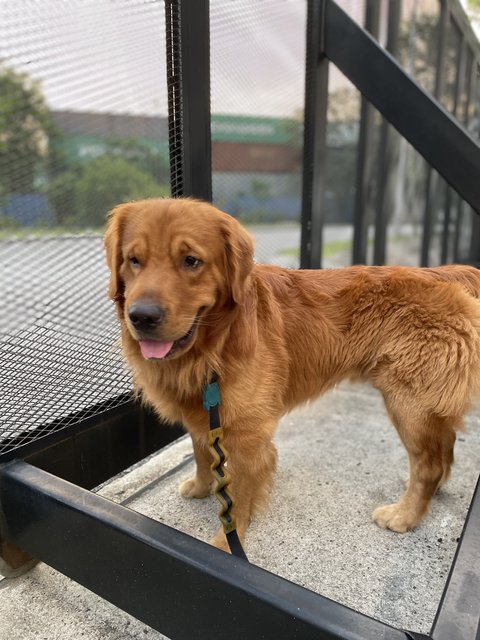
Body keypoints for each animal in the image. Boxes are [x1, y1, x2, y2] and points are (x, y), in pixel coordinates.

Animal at [105, 199, 480, 552]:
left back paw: (405, 515)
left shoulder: (248, 436)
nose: (142, 317)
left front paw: (227, 542)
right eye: (133, 260)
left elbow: (237, 498)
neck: (214, 345)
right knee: (444, 449)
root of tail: (445, 273)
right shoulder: (204, 413)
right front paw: (200, 487)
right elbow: (200, 453)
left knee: (428, 465)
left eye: (191, 261)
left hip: (409, 402)